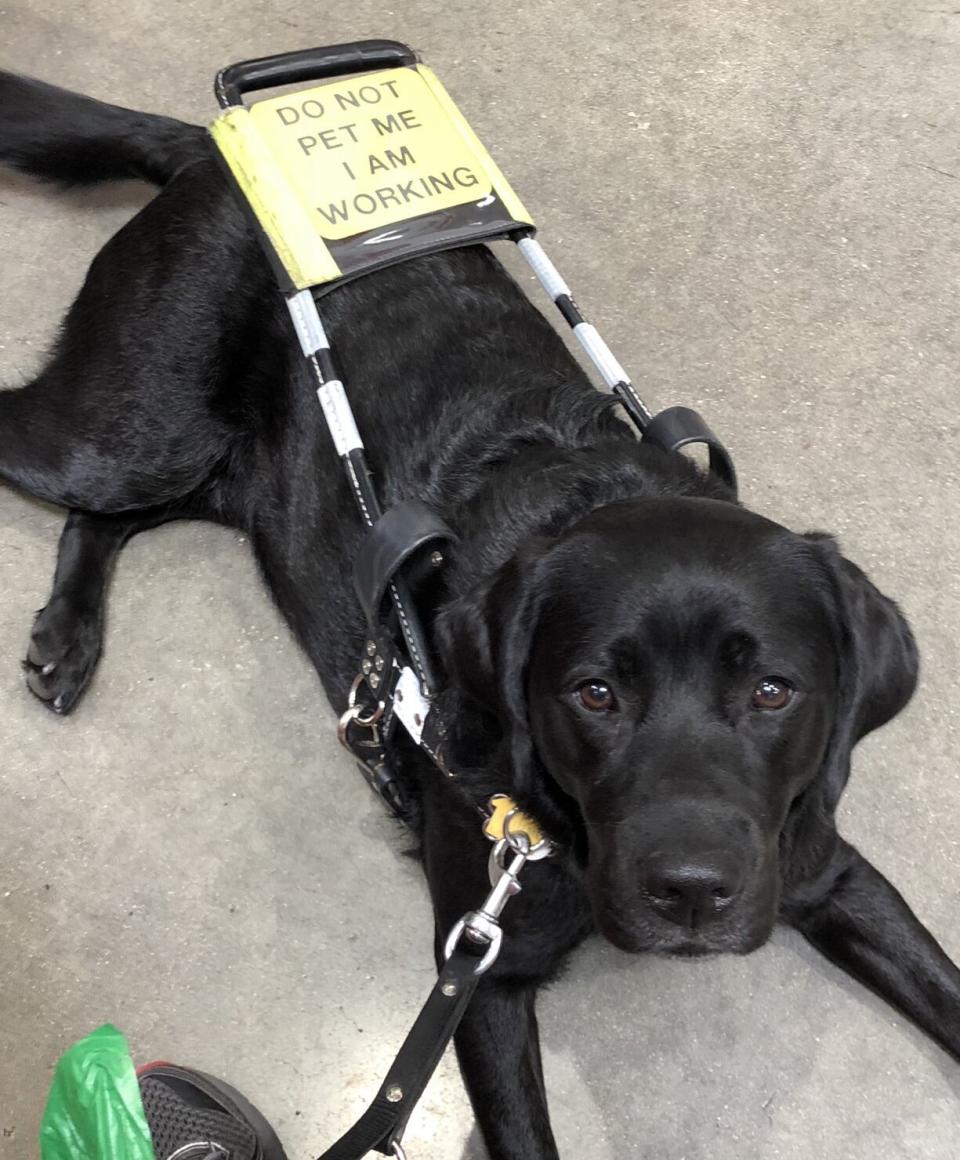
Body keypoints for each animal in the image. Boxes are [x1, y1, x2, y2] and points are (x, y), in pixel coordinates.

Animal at [0, 72, 955, 1160]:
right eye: (594, 692)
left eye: (772, 690)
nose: (691, 890)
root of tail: (215, 149)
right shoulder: (480, 972)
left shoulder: (828, 866)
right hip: (131, 428)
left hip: (213, 469)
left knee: (117, 514)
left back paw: (68, 638)